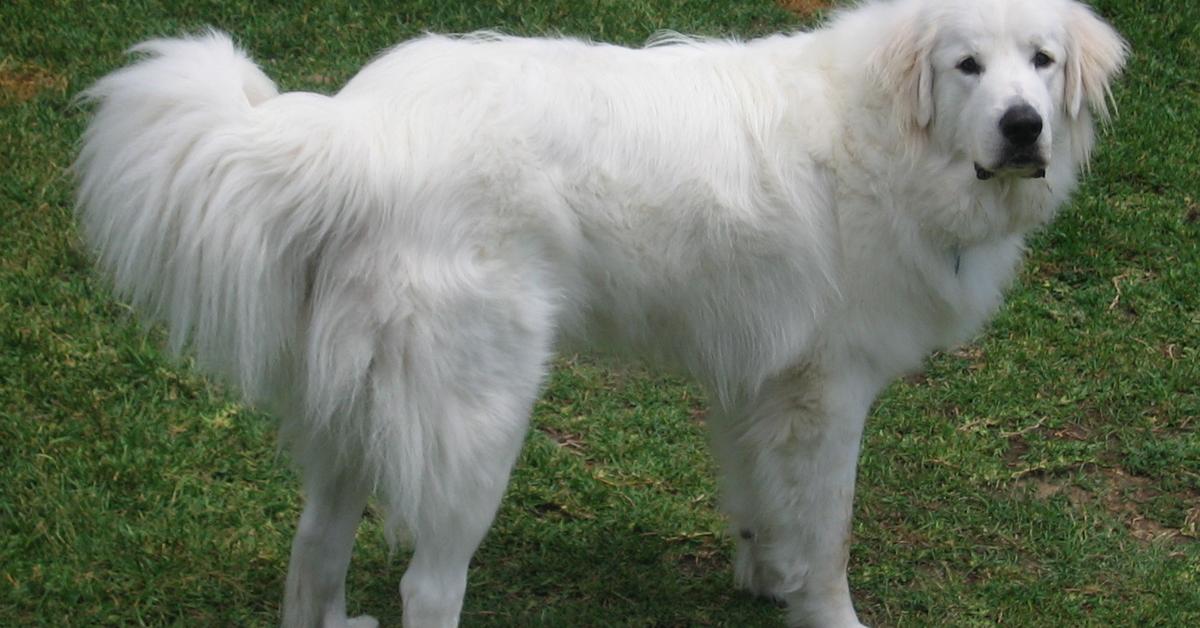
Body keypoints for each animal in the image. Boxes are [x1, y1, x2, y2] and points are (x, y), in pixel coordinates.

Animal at [75, 0, 1123, 624]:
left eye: (1042, 62)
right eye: (966, 65)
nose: (1024, 127)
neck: (887, 131)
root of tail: (356, 130)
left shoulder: (755, 379)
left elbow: (763, 504)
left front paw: (763, 577)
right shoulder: (827, 394)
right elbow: (827, 538)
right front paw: (819, 607)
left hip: (352, 412)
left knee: (313, 551)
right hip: (477, 422)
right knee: (427, 584)